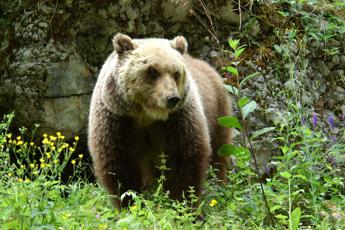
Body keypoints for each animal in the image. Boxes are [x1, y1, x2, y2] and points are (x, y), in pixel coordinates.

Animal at [87, 33, 230, 209]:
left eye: (176, 73)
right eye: (152, 70)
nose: (172, 98)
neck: (146, 115)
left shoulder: (178, 120)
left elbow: (186, 159)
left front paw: (181, 204)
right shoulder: (117, 120)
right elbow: (119, 164)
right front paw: (129, 203)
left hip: (218, 112)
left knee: (219, 152)